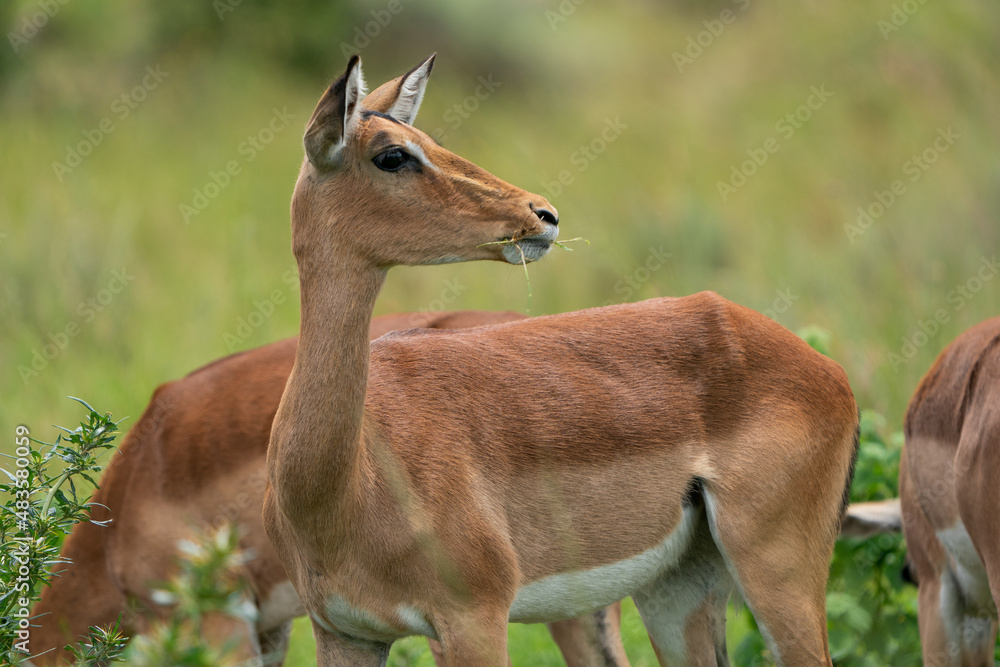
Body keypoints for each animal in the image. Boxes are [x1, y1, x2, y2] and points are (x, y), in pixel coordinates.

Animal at [262, 53, 860, 666]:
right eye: (392, 155)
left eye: (424, 140)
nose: (542, 214)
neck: (345, 483)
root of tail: (829, 371)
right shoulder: (345, 631)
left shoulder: (476, 619)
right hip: (677, 588)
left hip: (776, 572)